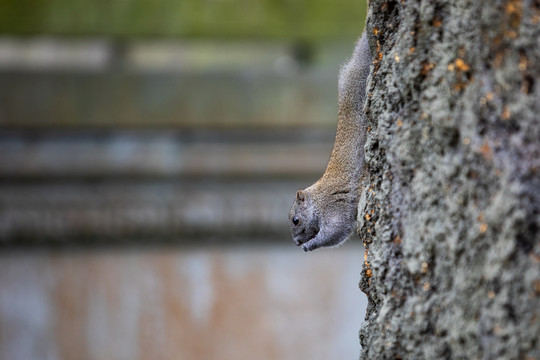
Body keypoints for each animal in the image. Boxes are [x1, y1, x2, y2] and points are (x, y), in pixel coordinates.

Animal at [288, 29, 374, 252]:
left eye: (295, 220)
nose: (296, 242)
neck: (317, 200)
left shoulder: (333, 207)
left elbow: (335, 232)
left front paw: (310, 245)